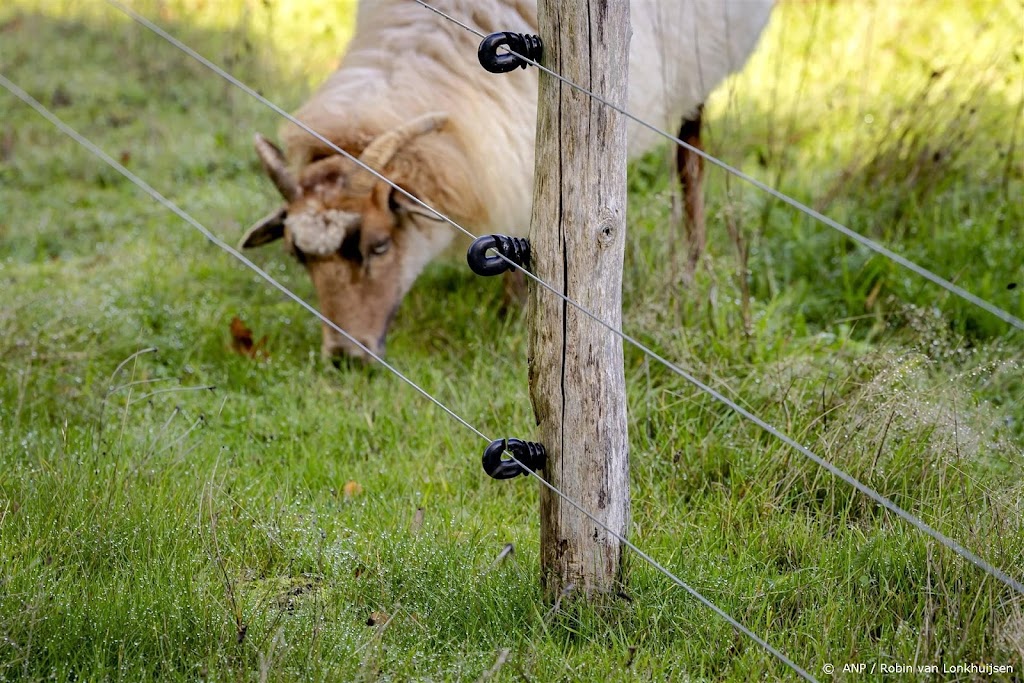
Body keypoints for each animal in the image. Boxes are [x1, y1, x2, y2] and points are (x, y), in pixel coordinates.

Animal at [241, 0, 770, 360]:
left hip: (699, 65)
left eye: (379, 246)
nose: (346, 357)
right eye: (298, 257)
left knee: (690, 155)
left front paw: (513, 316)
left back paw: (692, 261)